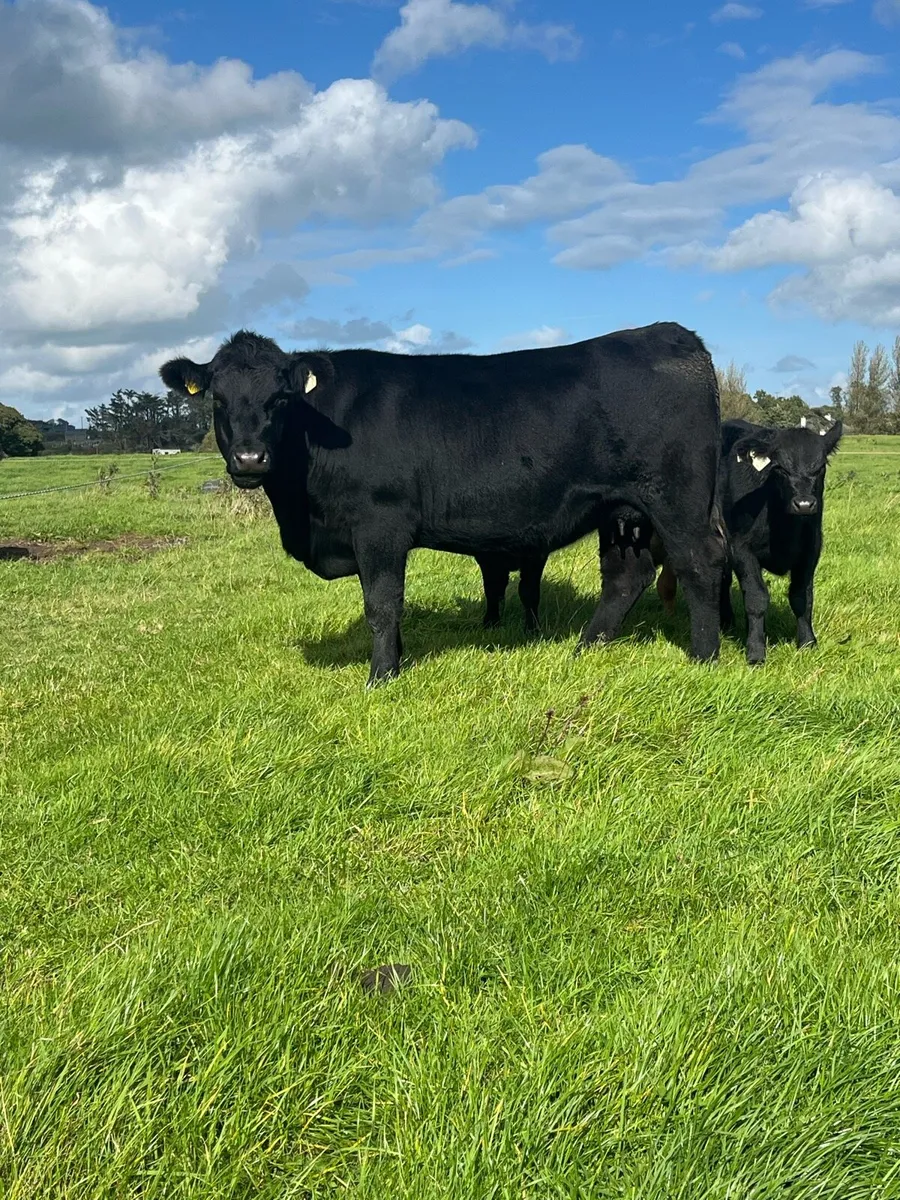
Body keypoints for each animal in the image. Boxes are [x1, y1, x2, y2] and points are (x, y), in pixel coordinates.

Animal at [160, 324, 726, 687]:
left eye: (279, 398)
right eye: (217, 400)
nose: (250, 458)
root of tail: (676, 336)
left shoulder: (380, 523)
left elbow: (382, 604)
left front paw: (381, 677)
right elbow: (388, 605)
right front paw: (397, 660)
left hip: (677, 498)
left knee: (699, 565)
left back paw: (704, 657)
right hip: (622, 509)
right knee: (627, 575)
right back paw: (587, 647)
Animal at [655, 417, 843, 664]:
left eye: (820, 468)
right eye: (780, 468)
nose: (804, 504)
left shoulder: (810, 551)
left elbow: (802, 597)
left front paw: (807, 642)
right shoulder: (742, 549)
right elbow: (756, 599)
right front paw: (755, 651)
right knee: (723, 581)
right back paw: (726, 621)